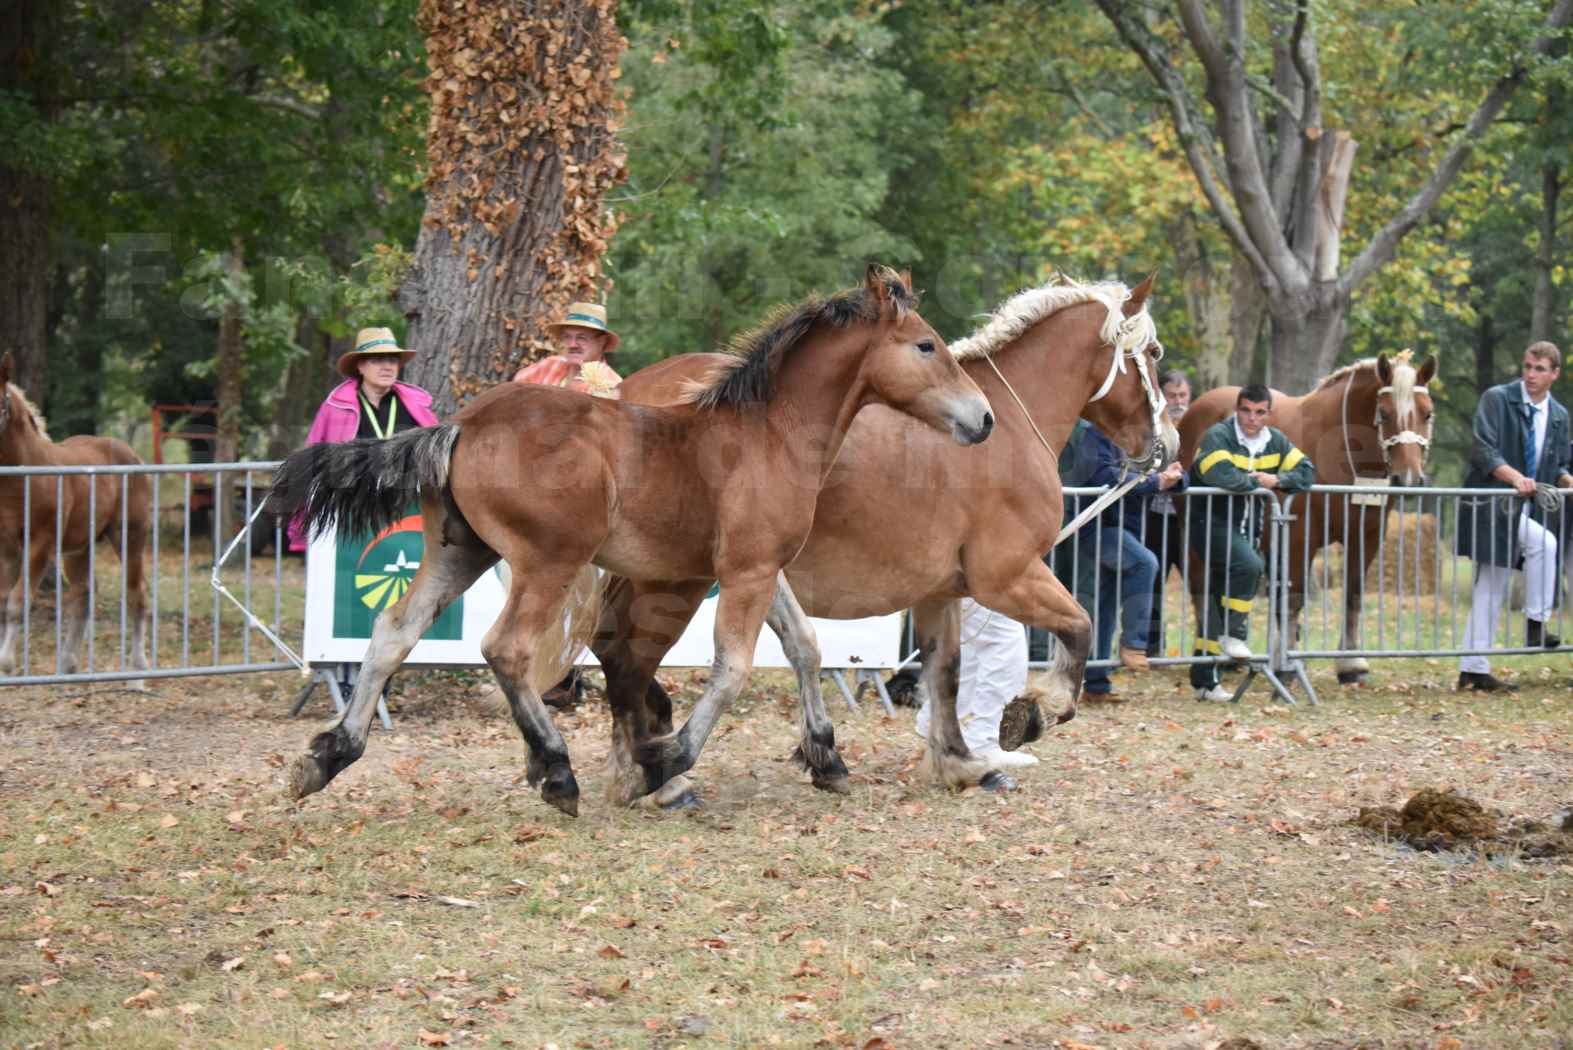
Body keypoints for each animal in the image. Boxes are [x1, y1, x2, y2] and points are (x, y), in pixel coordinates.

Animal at [0, 352, 151, 685]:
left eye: (0, 400)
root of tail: (132, 454)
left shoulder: (39, 545)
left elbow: (18, 601)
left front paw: (6, 663)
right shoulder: (5, 549)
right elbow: (3, 601)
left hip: (129, 537)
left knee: (136, 595)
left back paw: (137, 673)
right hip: (79, 547)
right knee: (82, 595)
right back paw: (68, 665)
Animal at [264, 267, 987, 817]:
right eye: (926, 346)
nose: (982, 418)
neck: (770, 434)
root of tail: (461, 426)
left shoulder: (763, 567)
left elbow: (804, 646)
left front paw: (827, 758)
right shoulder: (746, 572)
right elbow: (733, 669)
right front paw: (658, 764)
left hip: (458, 553)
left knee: (393, 632)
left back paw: (327, 756)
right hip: (548, 561)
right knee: (507, 649)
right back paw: (556, 772)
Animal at [600, 275, 1182, 811]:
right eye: (1153, 353)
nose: (1170, 447)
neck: (1012, 427)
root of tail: (623, 394)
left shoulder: (941, 591)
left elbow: (945, 672)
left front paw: (959, 760)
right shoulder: (1009, 577)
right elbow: (1080, 627)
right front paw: (1036, 711)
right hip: (681, 578)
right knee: (630, 655)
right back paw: (661, 772)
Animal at [1182, 348, 1440, 685]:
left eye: (1428, 413)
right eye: (1384, 413)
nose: (1408, 478)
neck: (1342, 451)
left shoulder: (1367, 534)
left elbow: (1353, 594)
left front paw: (1351, 663)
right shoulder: (1300, 535)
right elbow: (1294, 599)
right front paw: (1288, 666)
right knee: (1200, 585)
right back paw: (1206, 657)